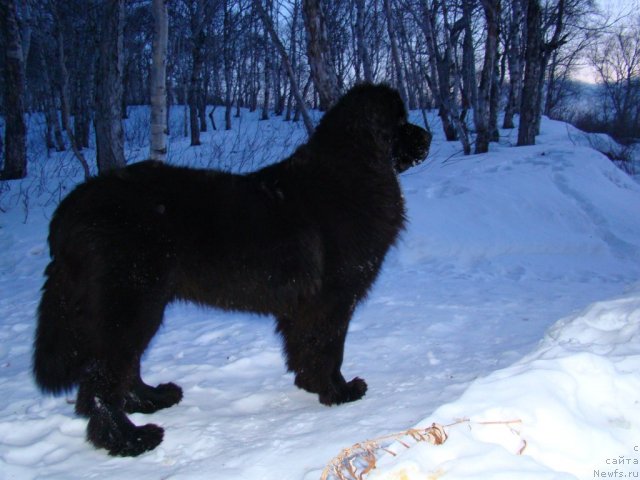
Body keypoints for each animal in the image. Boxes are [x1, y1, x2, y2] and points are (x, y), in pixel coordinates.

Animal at [33, 83, 430, 458]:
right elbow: (329, 347)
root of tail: (68, 210)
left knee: (123, 367)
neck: (354, 170)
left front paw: (312, 385)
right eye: (400, 121)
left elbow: (305, 347)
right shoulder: (333, 298)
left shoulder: (304, 306)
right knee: (100, 381)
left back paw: (150, 400)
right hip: (130, 301)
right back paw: (129, 439)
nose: (427, 136)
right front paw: (339, 391)